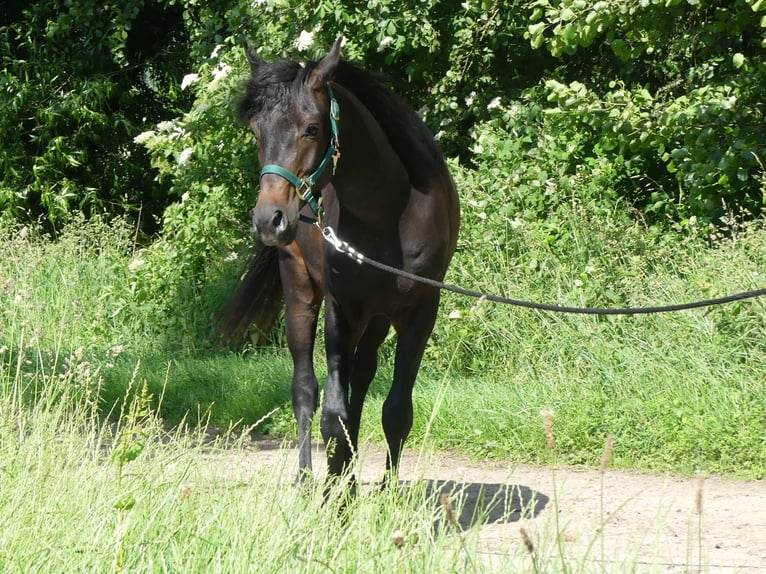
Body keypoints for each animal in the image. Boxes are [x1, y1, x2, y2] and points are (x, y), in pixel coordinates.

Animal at [218, 39, 460, 487]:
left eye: (312, 128)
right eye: (256, 131)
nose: (270, 219)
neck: (389, 214)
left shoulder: (420, 311)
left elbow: (396, 410)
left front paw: (385, 490)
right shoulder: (341, 309)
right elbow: (333, 412)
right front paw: (335, 493)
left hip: (377, 317)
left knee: (362, 377)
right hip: (301, 294)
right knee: (304, 390)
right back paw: (308, 477)